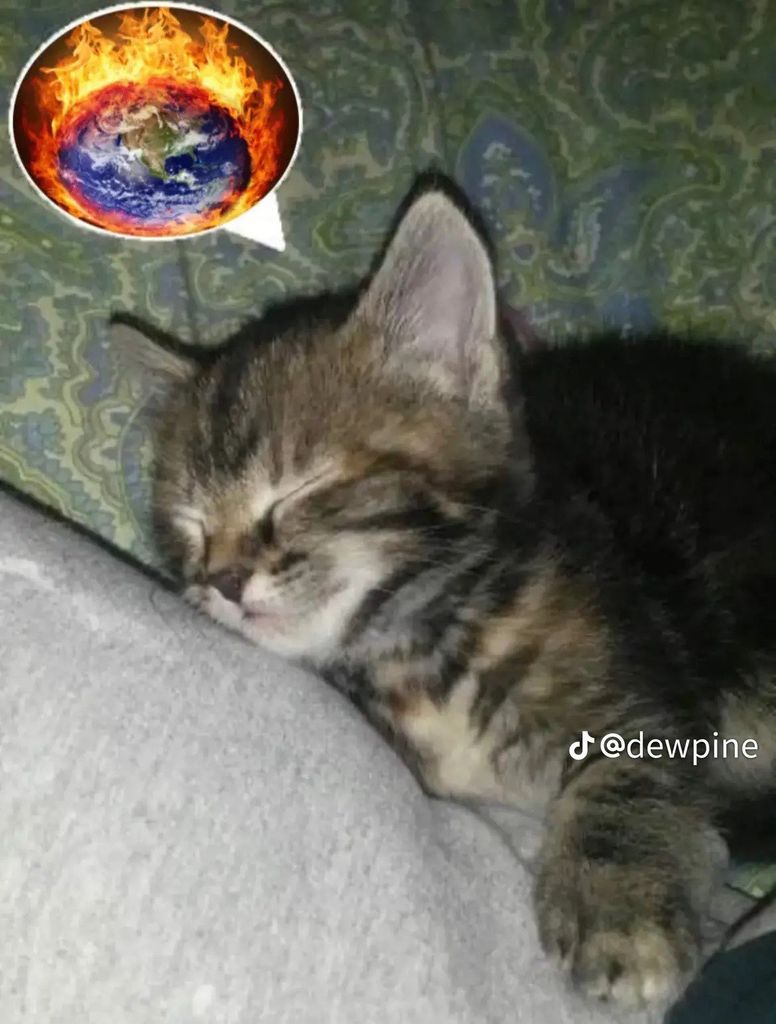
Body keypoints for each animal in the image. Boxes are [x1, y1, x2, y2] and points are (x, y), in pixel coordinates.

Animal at [113, 184, 776, 1010]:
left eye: (300, 489)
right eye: (191, 525)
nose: (223, 581)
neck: (421, 644)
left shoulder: (643, 661)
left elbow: (632, 776)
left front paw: (619, 914)